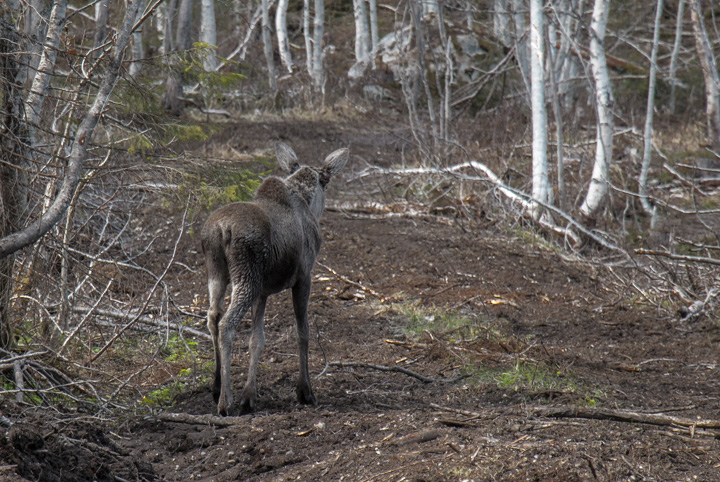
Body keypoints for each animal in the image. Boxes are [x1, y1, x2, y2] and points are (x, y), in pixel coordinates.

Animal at [201, 141, 350, 416]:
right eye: (326, 182)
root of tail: (222, 229)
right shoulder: (304, 277)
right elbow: (302, 331)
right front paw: (305, 391)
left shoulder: (264, 291)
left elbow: (257, 339)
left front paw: (250, 395)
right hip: (246, 278)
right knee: (227, 324)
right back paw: (225, 401)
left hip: (217, 271)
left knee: (213, 316)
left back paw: (216, 386)